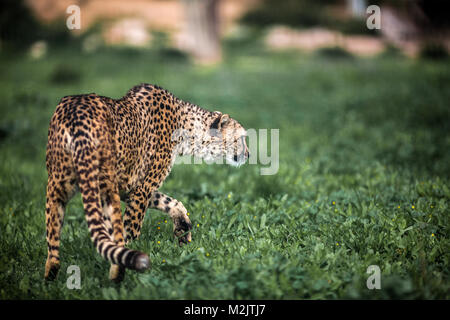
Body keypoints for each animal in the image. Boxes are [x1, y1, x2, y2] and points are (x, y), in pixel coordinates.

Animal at [44, 83, 250, 282]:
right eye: (241, 138)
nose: (248, 155)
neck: (186, 126)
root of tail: (76, 115)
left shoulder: (131, 188)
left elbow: (172, 202)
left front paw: (182, 228)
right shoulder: (141, 189)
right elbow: (131, 229)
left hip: (58, 185)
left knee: (53, 240)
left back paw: (50, 278)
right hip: (105, 189)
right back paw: (119, 275)